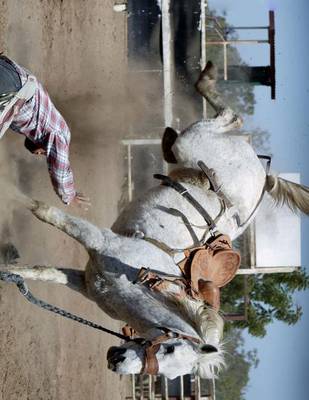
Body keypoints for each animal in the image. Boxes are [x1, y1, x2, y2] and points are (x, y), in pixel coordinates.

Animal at [0, 62, 308, 378]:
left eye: (167, 374)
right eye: (169, 348)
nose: (118, 361)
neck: (137, 279)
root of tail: (264, 175)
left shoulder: (84, 281)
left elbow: (41, 272)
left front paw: (7, 271)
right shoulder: (99, 240)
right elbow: (45, 212)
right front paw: (10, 193)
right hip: (193, 142)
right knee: (231, 117)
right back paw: (206, 78)